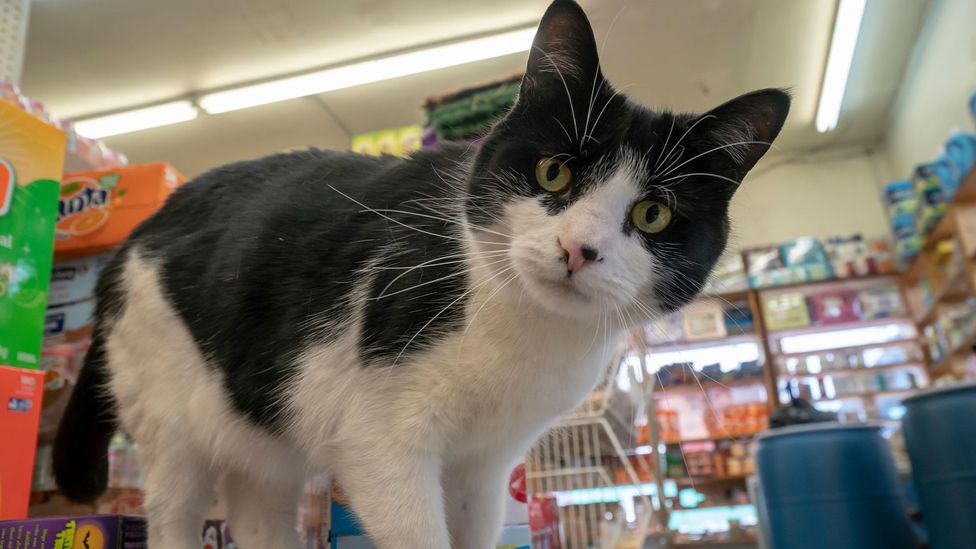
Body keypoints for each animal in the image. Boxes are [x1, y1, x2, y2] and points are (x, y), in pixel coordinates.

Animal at [51, 2, 784, 544]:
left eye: (653, 214)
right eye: (554, 172)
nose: (579, 249)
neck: (524, 337)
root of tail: (145, 226)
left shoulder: (487, 468)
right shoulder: (381, 442)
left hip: (262, 427)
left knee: (257, 507)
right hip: (168, 414)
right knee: (174, 510)